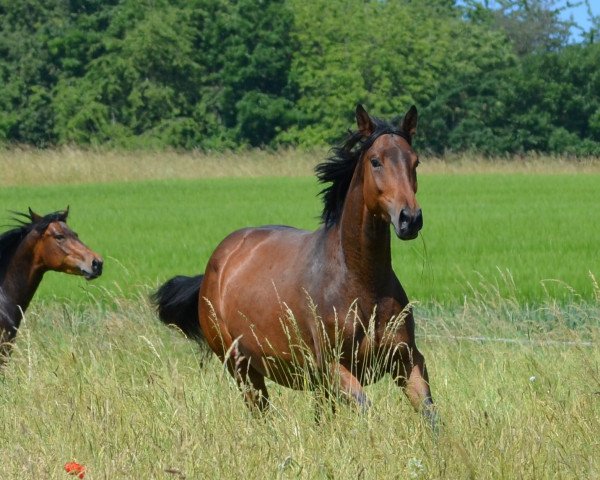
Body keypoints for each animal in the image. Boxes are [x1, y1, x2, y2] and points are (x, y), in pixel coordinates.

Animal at [155, 104, 436, 424]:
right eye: (375, 161)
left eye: (415, 161)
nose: (409, 219)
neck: (360, 282)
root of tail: (214, 266)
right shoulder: (332, 367)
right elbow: (367, 409)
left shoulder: (407, 360)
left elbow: (430, 415)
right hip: (242, 369)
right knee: (260, 412)